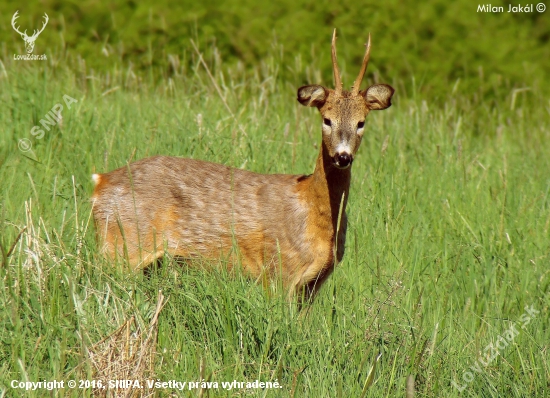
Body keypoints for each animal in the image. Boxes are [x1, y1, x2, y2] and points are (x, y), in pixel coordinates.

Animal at [91, 29, 396, 300]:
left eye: (361, 122)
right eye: (327, 119)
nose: (342, 157)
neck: (311, 209)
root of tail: (99, 181)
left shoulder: (312, 286)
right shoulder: (278, 272)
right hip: (120, 247)